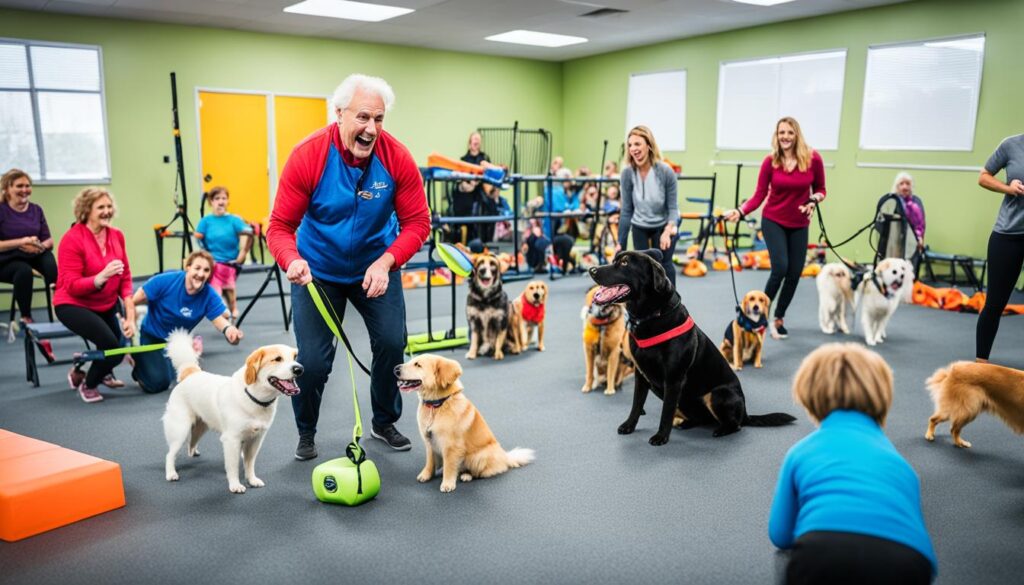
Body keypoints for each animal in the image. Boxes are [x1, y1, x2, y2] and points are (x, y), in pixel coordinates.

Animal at [161, 331, 301, 491]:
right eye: (277, 359)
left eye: (295, 357)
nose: (299, 369)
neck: (254, 397)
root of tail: (191, 373)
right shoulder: (231, 440)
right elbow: (233, 466)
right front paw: (235, 485)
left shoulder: (256, 439)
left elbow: (249, 463)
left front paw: (252, 480)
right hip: (180, 429)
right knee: (170, 454)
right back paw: (171, 473)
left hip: (202, 425)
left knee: (192, 440)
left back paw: (193, 452)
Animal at [393, 354, 536, 491]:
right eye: (410, 361)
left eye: (418, 365)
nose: (395, 369)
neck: (437, 405)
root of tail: (505, 457)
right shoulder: (429, 442)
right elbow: (430, 461)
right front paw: (426, 475)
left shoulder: (451, 446)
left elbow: (449, 467)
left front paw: (447, 483)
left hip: (479, 456)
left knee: (478, 473)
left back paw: (466, 475)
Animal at [589, 249, 794, 446]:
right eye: (615, 260)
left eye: (624, 263)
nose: (592, 270)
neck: (653, 315)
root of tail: (746, 413)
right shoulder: (641, 375)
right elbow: (636, 405)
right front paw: (629, 425)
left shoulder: (673, 379)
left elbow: (666, 412)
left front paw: (661, 436)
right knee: (701, 418)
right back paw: (687, 423)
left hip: (717, 394)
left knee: (736, 425)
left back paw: (721, 429)